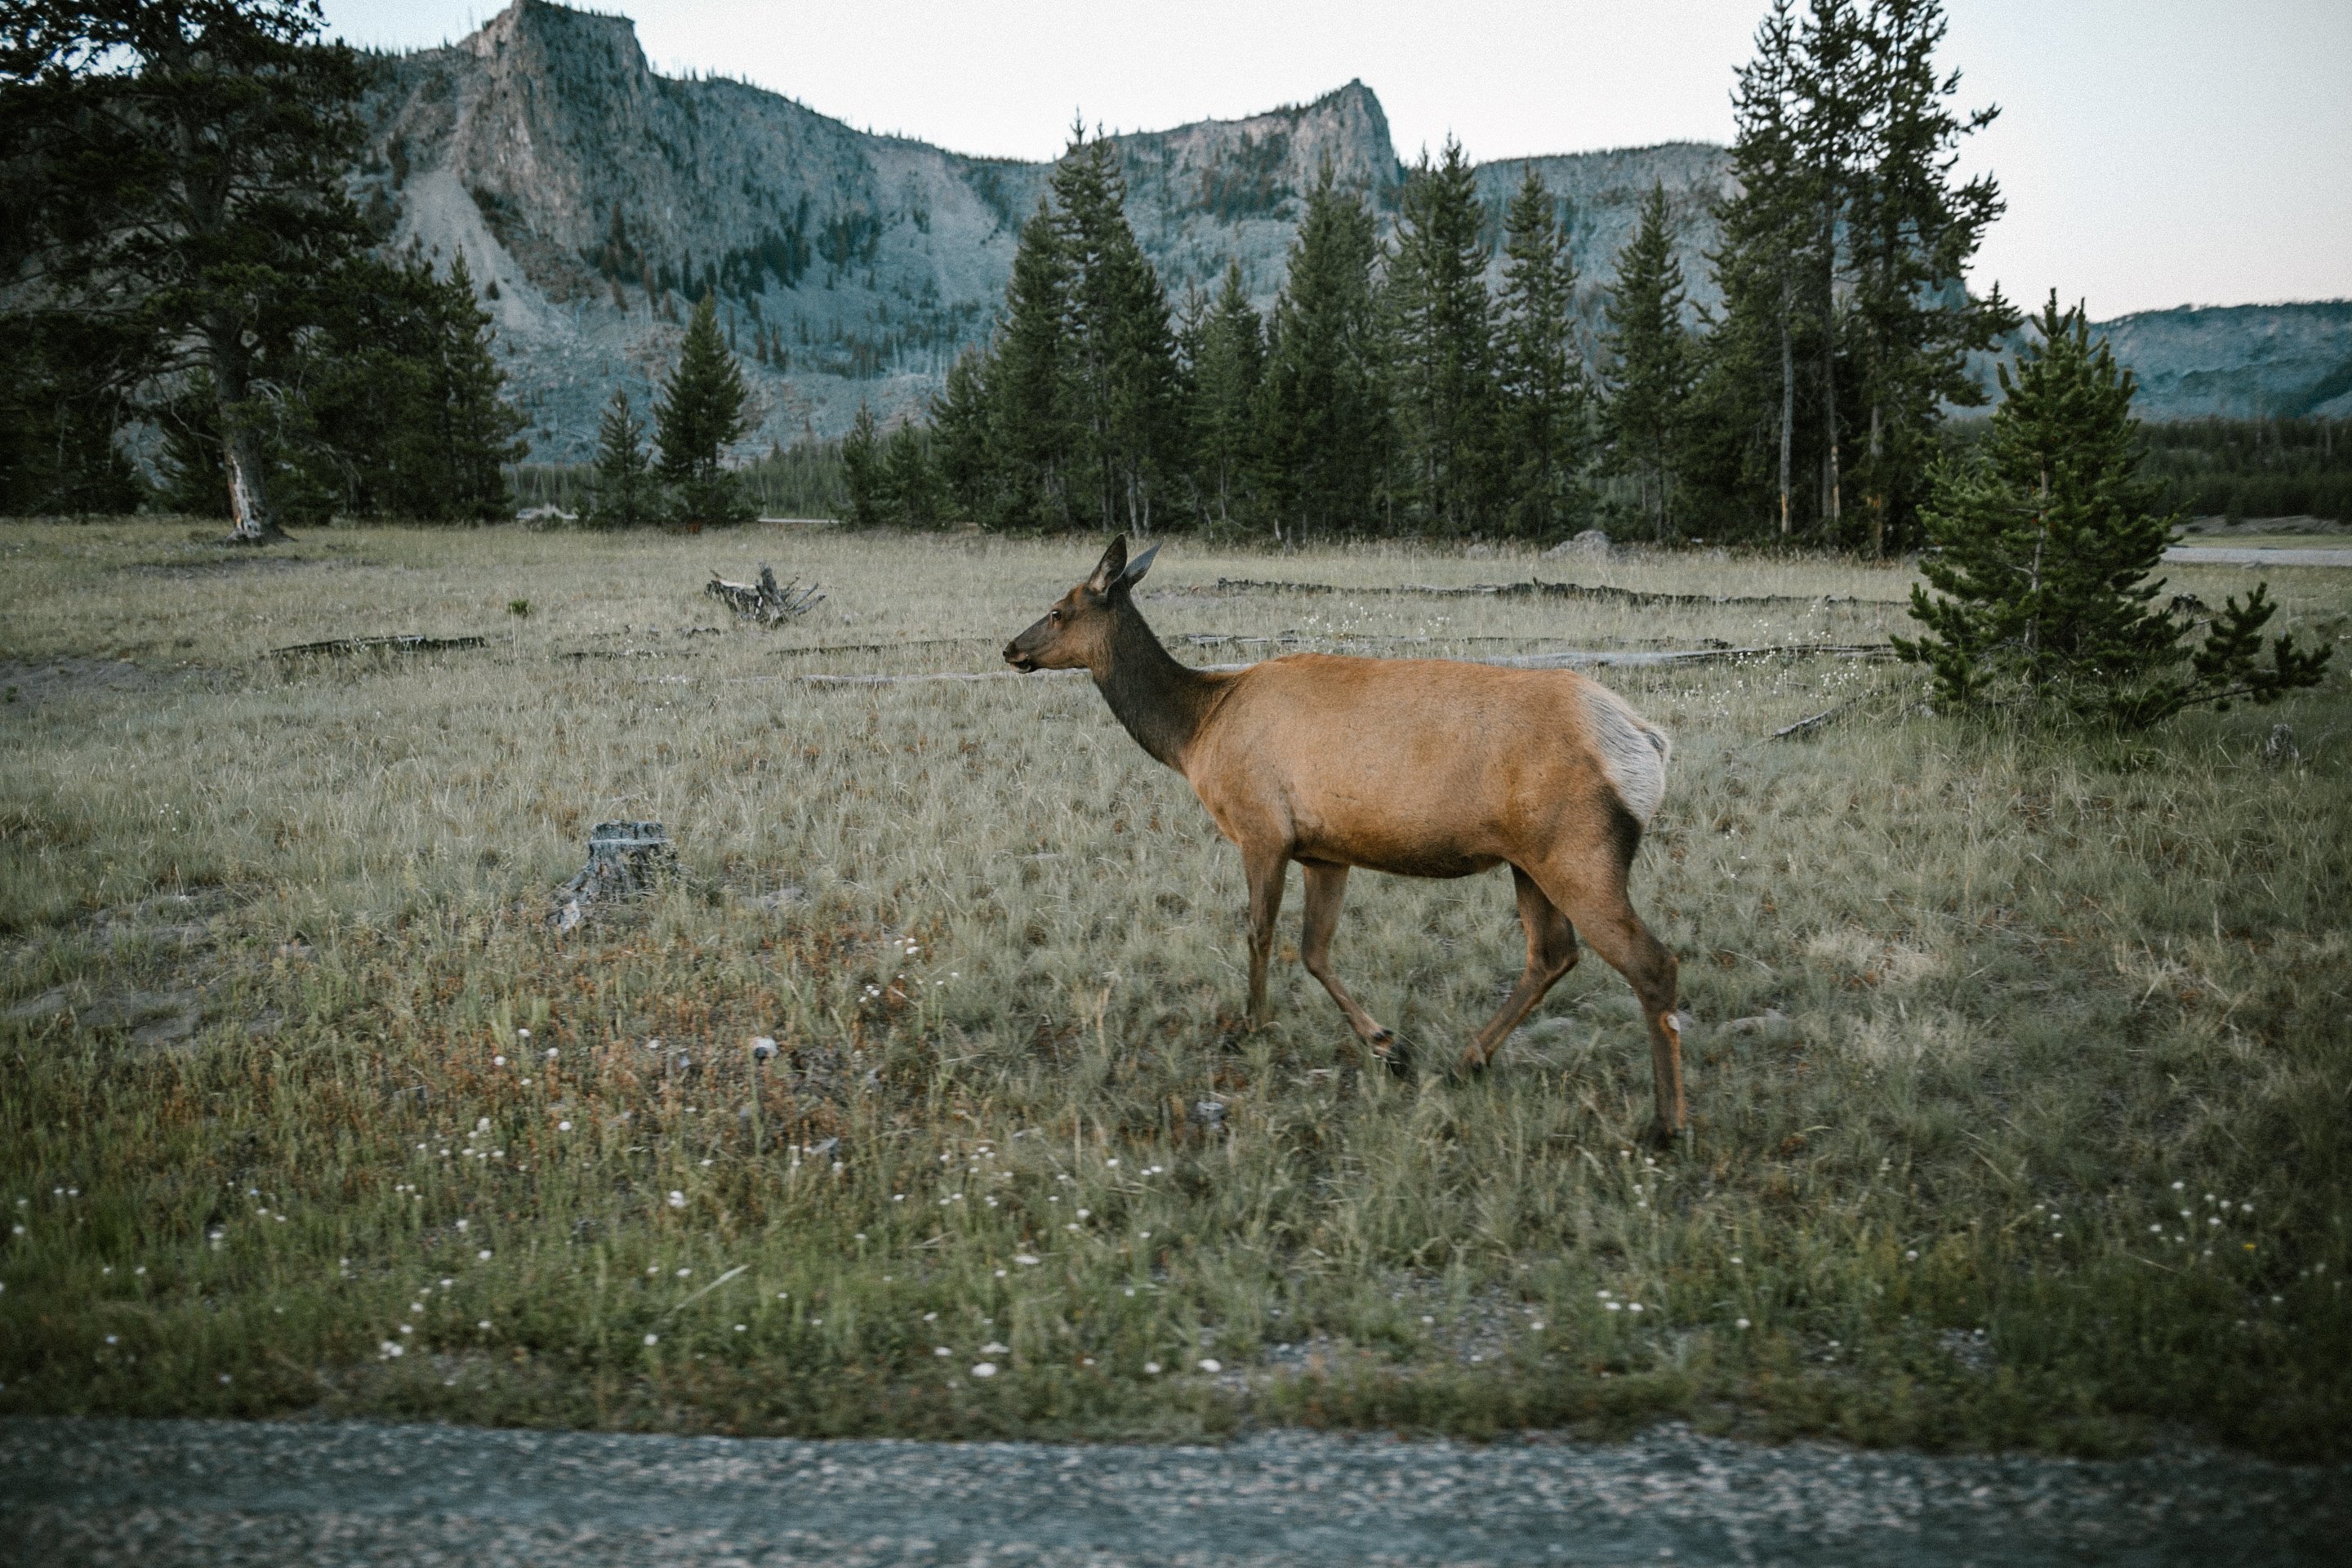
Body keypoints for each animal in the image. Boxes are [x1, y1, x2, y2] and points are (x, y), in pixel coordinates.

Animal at [1001, 536, 1684, 1142]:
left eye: (1060, 609)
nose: (1011, 648)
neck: (1196, 734)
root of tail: (1647, 744)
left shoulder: (1261, 828)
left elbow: (1259, 933)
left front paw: (1250, 1027)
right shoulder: (1324, 851)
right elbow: (1314, 950)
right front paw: (1387, 1044)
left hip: (1580, 853)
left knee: (1651, 963)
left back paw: (1667, 1123)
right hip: (1530, 861)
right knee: (1551, 954)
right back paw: (1467, 1061)